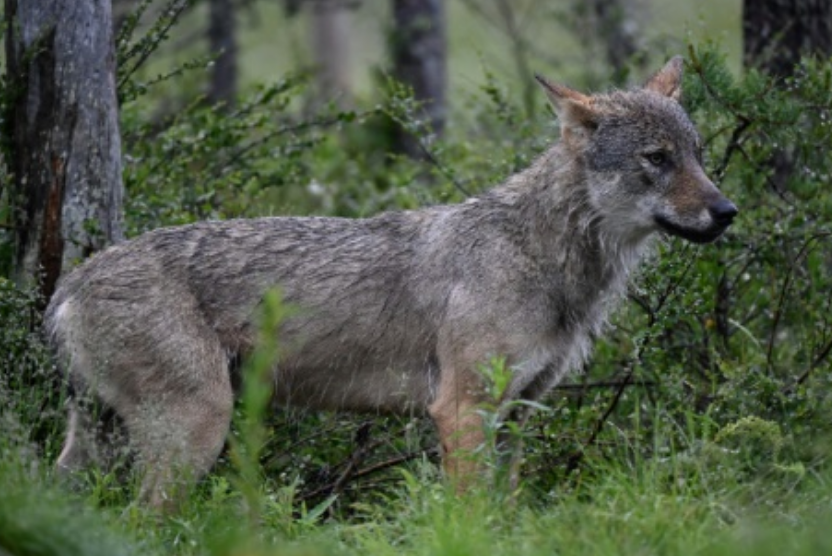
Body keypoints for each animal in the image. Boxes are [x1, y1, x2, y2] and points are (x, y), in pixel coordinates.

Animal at [46, 57, 737, 507]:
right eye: (657, 160)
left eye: (699, 155)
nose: (727, 211)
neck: (544, 260)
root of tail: (69, 284)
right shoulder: (462, 409)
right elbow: (472, 515)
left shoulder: (519, 413)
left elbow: (510, 515)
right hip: (197, 429)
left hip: (105, 445)